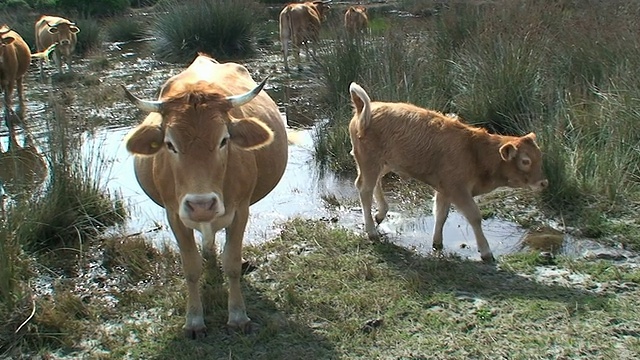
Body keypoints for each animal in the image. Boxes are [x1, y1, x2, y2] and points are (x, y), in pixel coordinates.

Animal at [122, 53, 288, 338]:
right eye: (169, 144)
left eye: (224, 140)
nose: (201, 205)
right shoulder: (174, 215)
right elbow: (191, 268)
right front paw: (194, 320)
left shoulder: (241, 210)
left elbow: (231, 264)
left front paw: (238, 316)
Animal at [348, 81, 548, 262]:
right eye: (525, 161)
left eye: (540, 156)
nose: (543, 183)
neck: (476, 151)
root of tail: (367, 107)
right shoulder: (458, 189)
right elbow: (474, 216)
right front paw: (486, 252)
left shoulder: (445, 189)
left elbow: (441, 214)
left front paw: (437, 243)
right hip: (370, 161)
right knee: (365, 189)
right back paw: (372, 231)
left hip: (381, 163)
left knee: (373, 184)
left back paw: (380, 214)